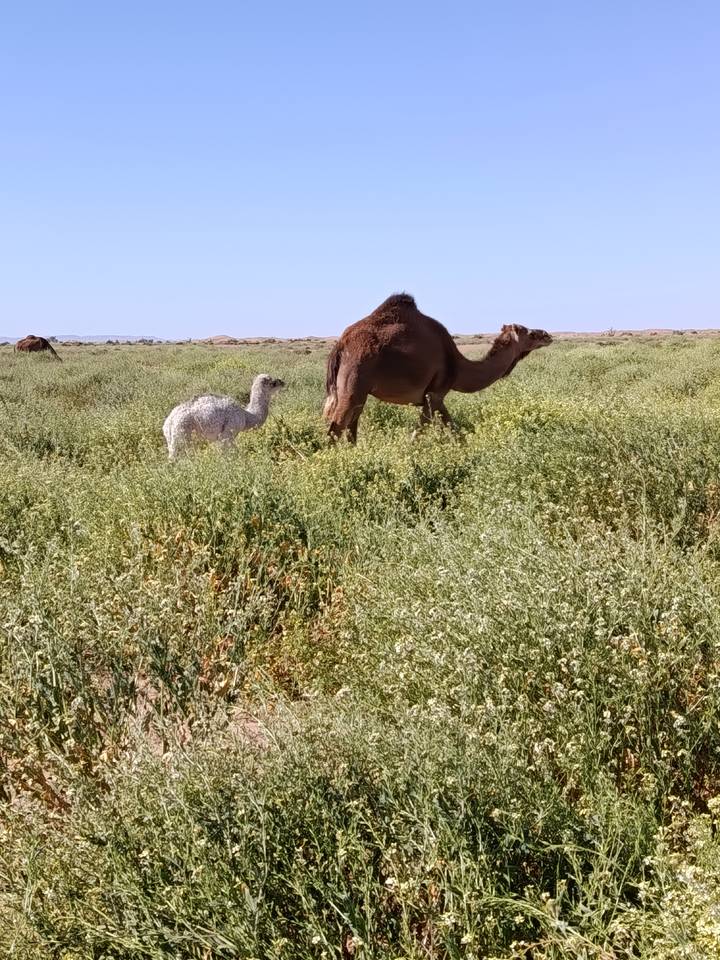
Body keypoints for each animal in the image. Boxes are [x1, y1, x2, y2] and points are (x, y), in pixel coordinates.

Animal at [324, 293, 552, 441]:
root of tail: (341, 344)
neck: (458, 366)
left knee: (350, 427)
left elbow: (454, 430)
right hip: (354, 381)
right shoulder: (434, 393)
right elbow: (418, 434)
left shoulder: (438, 395)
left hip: (360, 392)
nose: (547, 335)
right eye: (530, 333)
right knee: (336, 427)